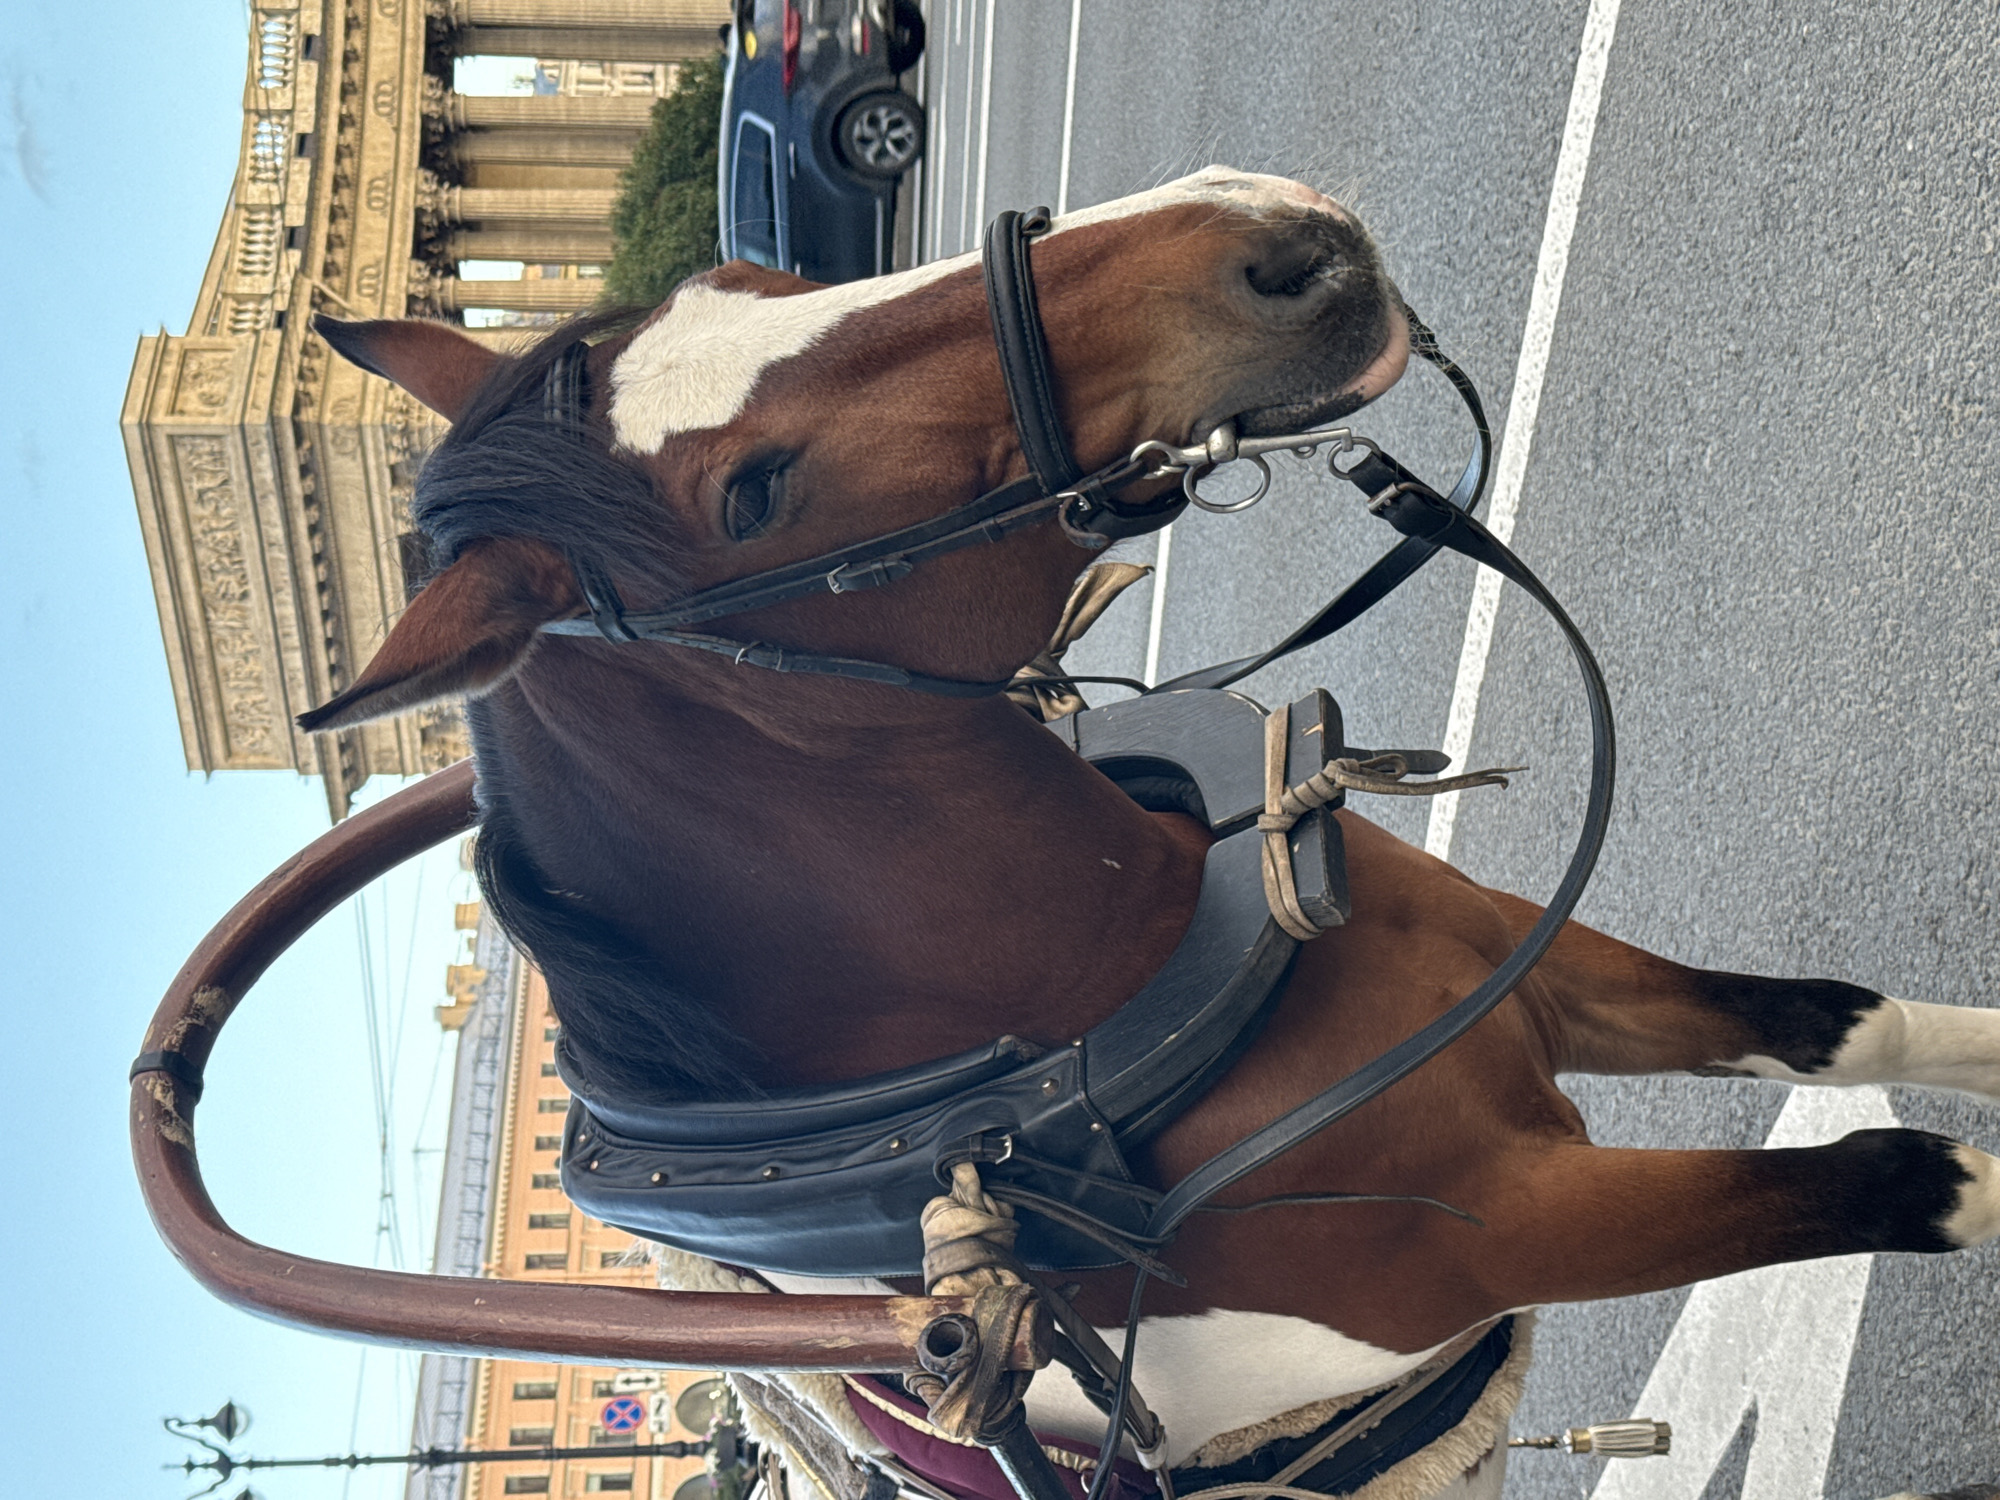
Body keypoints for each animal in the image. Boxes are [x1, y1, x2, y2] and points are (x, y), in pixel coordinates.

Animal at [298, 168, 2000, 1499]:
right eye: (752, 498)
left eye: (748, 276)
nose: (1275, 238)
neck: (1108, 958)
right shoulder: (1525, 1224)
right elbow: (1900, 1180)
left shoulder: (1543, 978)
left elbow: (1837, 1026)